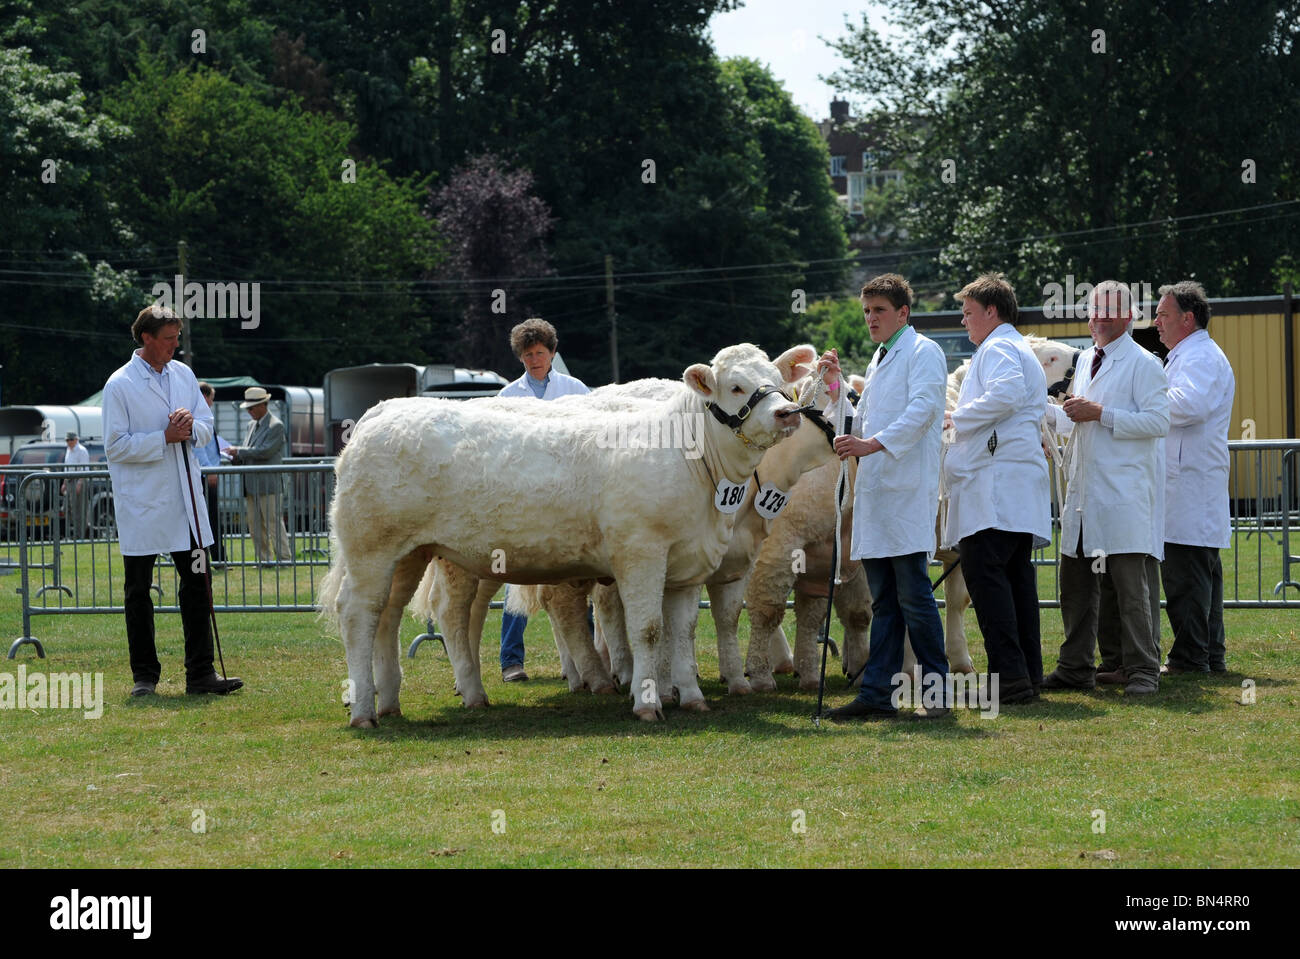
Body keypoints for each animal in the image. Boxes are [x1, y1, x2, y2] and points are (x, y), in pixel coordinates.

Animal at [322, 340, 800, 722]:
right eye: (736, 386)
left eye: (779, 380)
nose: (787, 412)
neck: (692, 461)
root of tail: (383, 411)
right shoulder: (641, 552)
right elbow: (647, 628)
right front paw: (647, 703)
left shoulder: (687, 563)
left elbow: (681, 630)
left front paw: (694, 696)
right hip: (371, 548)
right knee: (360, 612)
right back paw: (364, 710)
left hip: (412, 553)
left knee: (389, 614)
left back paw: (392, 701)